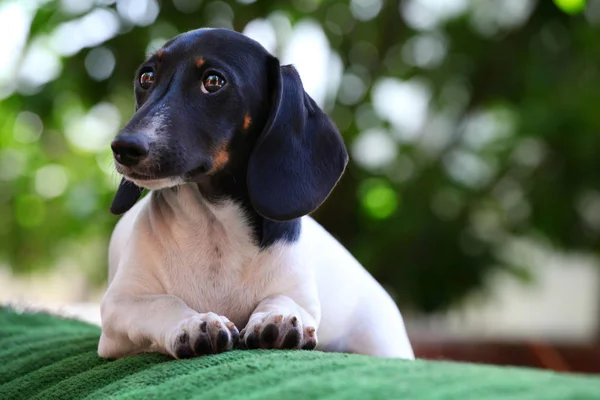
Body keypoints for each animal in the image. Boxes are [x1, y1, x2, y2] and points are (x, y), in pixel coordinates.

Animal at [98, 28, 414, 360]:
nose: (124, 147)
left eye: (213, 81)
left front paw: (279, 319)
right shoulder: (119, 306)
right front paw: (192, 324)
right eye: (146, 77)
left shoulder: (299, 295)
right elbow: (163, 302)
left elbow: (282, 299)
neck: (213, 229)